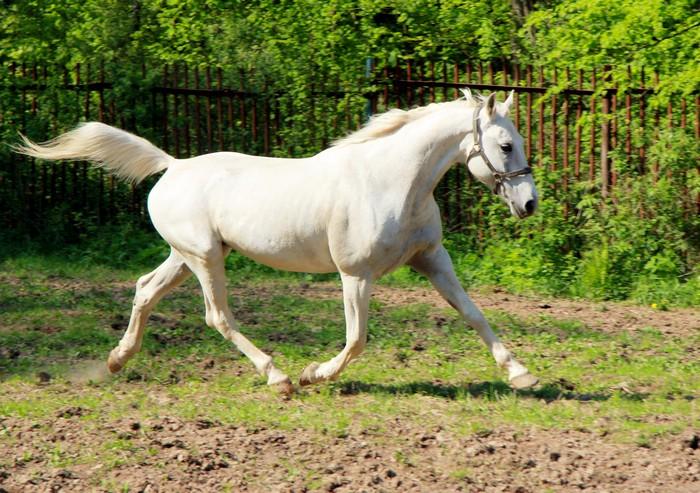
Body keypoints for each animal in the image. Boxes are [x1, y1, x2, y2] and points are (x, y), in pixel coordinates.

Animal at [16, 89, 539, 394]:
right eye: (506, 145)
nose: (530, 203)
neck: (392, 182)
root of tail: (173, 165)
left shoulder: (432, 259)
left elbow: (473, 314)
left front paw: (521, 374)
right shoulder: (355, 275)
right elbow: (356, 340)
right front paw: (314, 374)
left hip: (185, 256)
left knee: (145, 290)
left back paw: (116, 361)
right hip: (204, 259)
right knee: (217, 316)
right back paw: (279, 376)